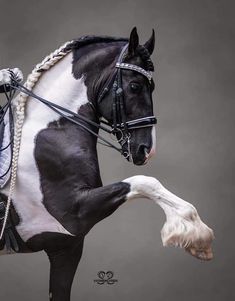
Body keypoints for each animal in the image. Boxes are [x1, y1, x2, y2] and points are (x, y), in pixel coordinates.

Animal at [0, 27, 214, 298]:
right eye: (134, 85)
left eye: (152, 86)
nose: (147, 149)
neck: (51, 131)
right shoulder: (73, 213)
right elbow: (144, 181)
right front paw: (196, 233)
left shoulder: (66, 247)